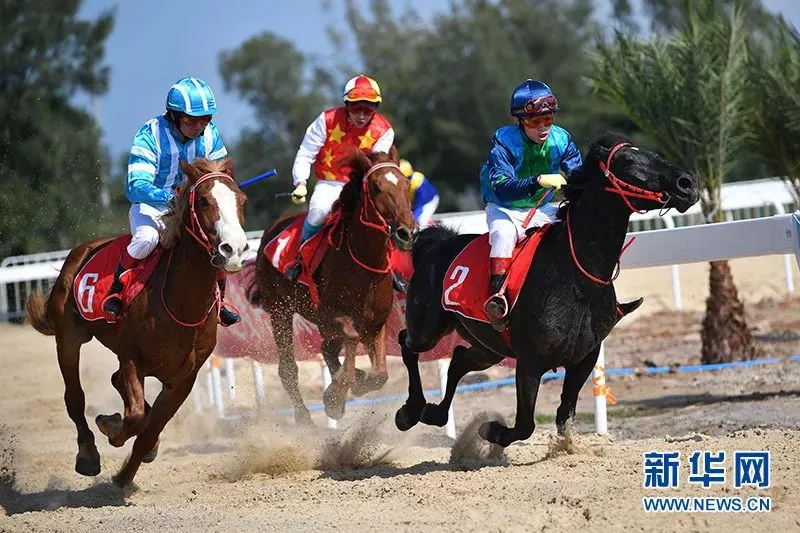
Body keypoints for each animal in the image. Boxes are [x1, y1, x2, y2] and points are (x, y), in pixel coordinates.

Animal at [25, 157, 247, 486]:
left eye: (241, 200)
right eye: (204, 201)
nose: (234, 250)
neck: (180, 305)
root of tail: (83, 250)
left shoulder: (184, 378)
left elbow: (148, 429)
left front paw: (125, 475)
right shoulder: (131, 357)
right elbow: (136, 417)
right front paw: (111, 428)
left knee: (119, 389)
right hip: (68, 337)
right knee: (75, 398)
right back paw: (87, 454)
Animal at [247, 149, 416, 424]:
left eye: (406, 184)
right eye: (376, 187)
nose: (406, 233)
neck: (364, 267)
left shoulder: (376, 320)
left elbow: (380, 374)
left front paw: (351, 384)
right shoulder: (329, 314)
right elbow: (350, 339)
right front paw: (336, 396)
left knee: (327, 347)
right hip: (279, 310)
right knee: (288, 369)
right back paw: (304, 418)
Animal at [396, 132, 696, 444]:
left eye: (653, 153)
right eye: (627, 161)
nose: (687, 183)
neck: (579, 281)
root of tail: (436, 244)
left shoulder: (584, 359)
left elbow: (565, 417)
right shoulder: (530, 362)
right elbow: (525, 424)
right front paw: (491, 430)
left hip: (489, 347)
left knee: (458, 360)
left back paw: (434, 412)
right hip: (427, 330)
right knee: (407, 343)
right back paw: (410, 411)